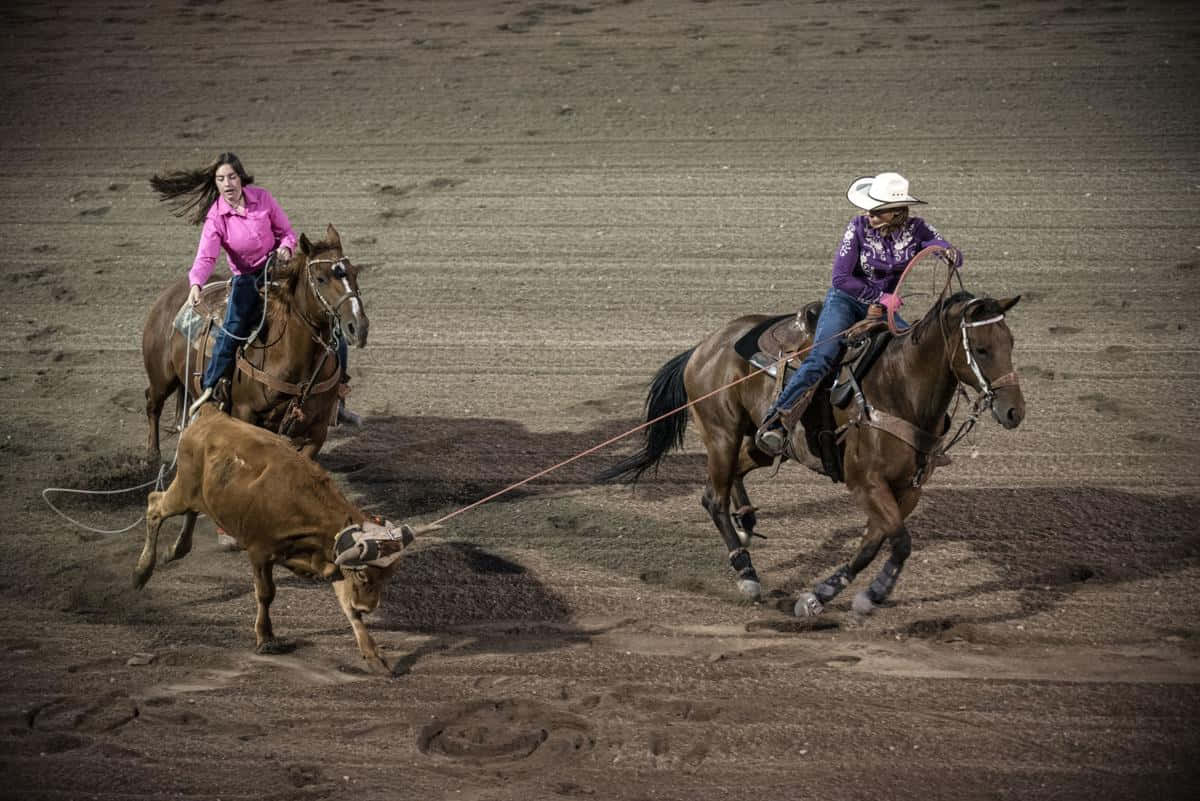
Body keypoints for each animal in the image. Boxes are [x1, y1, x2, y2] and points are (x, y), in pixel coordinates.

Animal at [141, 225, 364, 462]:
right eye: (321, 279)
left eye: (354, 273)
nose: (359, 326)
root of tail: (171, 296)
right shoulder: (245, 414)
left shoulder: (317, 429)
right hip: (162, 377)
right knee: (152, 402)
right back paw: (153, 455)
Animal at [597, 291, 1022, 618]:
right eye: (981, 349)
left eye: (1011, 343)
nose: (1014, 411)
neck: (899, 388)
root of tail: (704, 347)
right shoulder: (866, 483)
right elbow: (899, 541)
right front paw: (867, 595)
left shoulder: (908, 489)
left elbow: (875, 543)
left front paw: (825, 595)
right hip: (721, 433)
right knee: (712, 497)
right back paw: (746, 573)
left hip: (761, 442)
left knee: (734, 475)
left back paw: (745, 522)